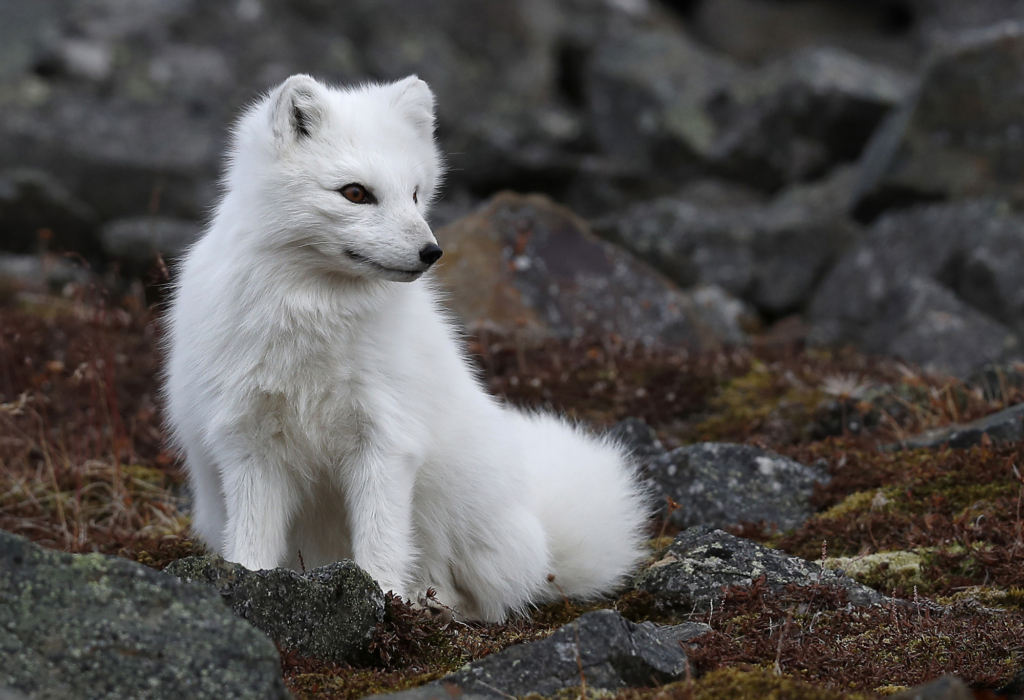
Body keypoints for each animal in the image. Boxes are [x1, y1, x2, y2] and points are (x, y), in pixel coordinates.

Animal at [164, 73, 651, 622]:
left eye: (416, 195)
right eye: (356, 193)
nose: (431, 252)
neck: (313, 313)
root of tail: (542, 541)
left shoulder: (386, 439)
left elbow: (381, 539)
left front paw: (380, 599)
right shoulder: (249, 442)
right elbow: (251, 542)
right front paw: (252, 585)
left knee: (485, 597)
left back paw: (430, 604)